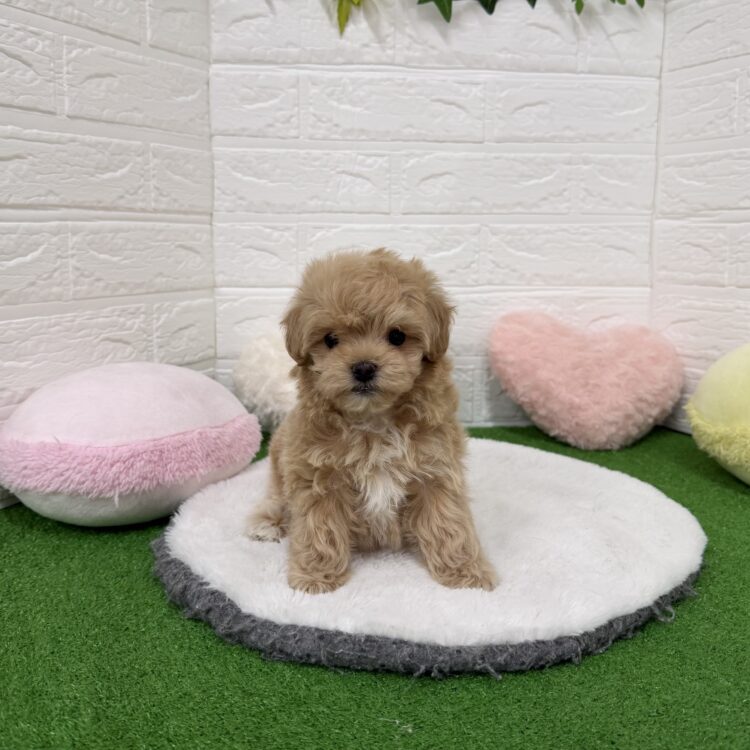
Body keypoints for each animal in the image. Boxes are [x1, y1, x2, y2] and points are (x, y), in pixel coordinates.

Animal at [246, 249, 497, 595]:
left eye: (397, 336)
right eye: (331, 339)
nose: (363, 368)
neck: (373, 420)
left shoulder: (436, 470)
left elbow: (448, 522)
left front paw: (465, 574)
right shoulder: (317, 476)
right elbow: (318, 528)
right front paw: (316, 577)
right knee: (275, 500)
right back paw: (266, 524)